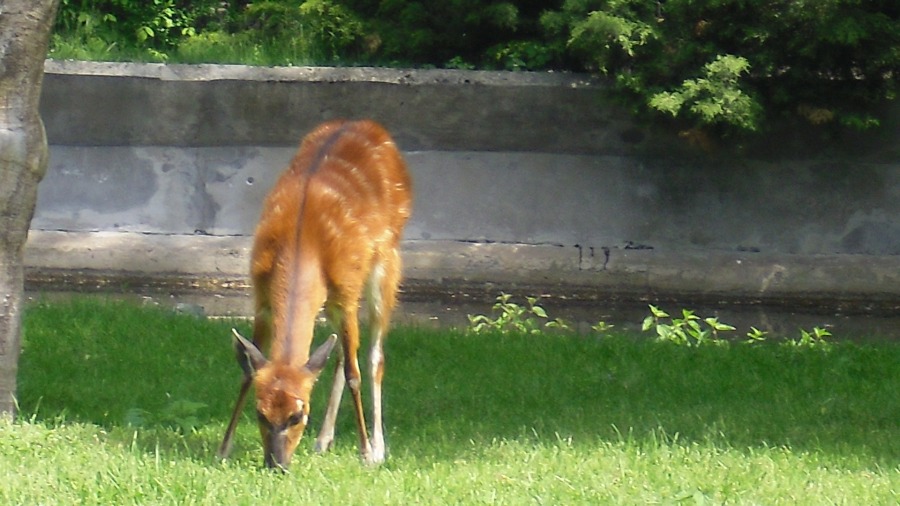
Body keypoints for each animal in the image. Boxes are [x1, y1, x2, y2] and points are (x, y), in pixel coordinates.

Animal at [216, 117, 414, 466]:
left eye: (298, 414)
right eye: (260, 412)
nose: (277, 463)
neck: (303, 241)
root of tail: (368, 124)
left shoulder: (346, 293)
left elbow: (354, 372)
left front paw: (365, 451)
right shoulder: (261, 294)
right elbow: (247, 370)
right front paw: (223, 448)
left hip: (387, 259)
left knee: (374, 354)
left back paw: (378, 447)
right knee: (338, 352)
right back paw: (323, 440)